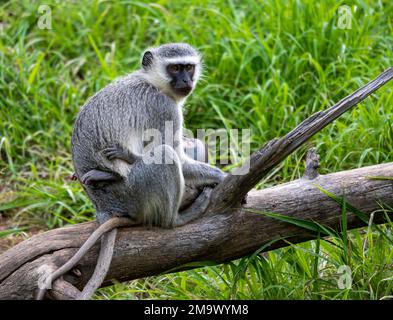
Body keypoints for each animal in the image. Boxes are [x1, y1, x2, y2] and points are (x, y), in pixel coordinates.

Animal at [37, 43, 227, 300]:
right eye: (175, 68)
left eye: (189, 67)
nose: (187, 80)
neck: (152, 82)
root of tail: (105, 207)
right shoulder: (162, 108)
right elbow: (176, 156)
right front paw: (223, 176)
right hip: (133, 191)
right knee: (166, 157)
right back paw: (176, 218)